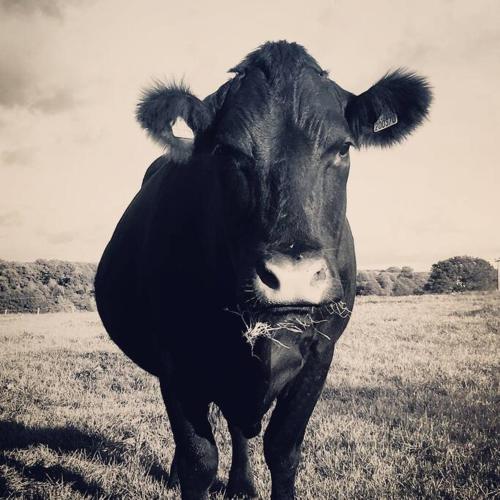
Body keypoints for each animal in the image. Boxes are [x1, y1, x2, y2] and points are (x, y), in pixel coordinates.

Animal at [95, 41, 432, 498]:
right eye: (226, 150)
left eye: (343, 148)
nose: (291, 278)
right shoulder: (176, 360)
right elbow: (199, 459)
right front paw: (188, 471)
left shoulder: (321, 351)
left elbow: (283, 449)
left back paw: (242, 483)